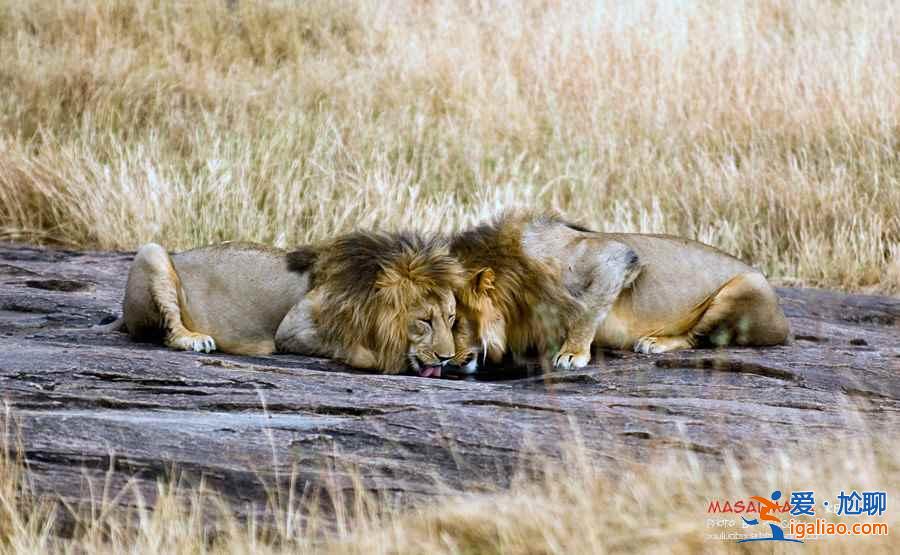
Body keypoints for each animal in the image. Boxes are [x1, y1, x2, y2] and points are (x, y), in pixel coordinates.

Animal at [111, 228, 460, 376]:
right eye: (424, 321)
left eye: (451, 318)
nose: (447, 358)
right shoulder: (292, 329)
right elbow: (354, 348)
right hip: (151, 251)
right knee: (169, 331)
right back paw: (194, 339)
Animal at [450, 213, 788, 374]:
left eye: (455, 320)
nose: (447, 363)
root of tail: (784, 324)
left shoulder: (614, 258)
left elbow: (588, 310)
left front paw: (572, 354)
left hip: (747, 286)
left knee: (698, 338)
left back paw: (654, 342)